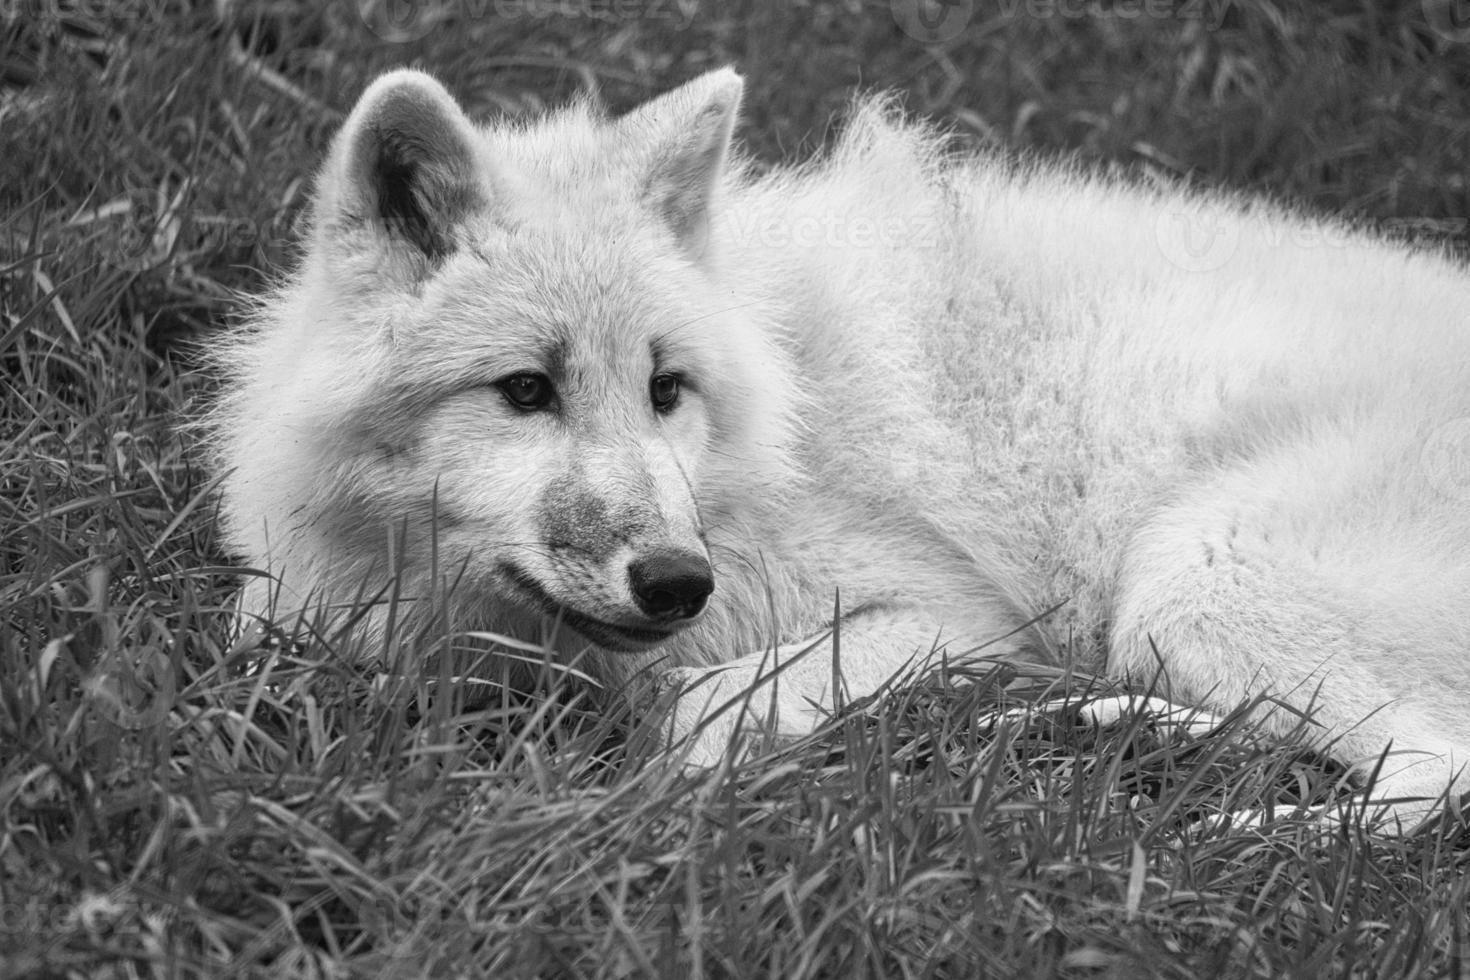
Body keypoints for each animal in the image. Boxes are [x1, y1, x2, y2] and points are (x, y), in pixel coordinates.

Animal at [214, 67, 1470, 828]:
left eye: (665, 390)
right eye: (526, 390)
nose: (676, 581)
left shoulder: (950, 612)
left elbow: (703, 706)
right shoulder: (304, 611)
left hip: (1195, 578)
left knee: (1436, 778)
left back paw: (1235, 824)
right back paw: (1090, 731)